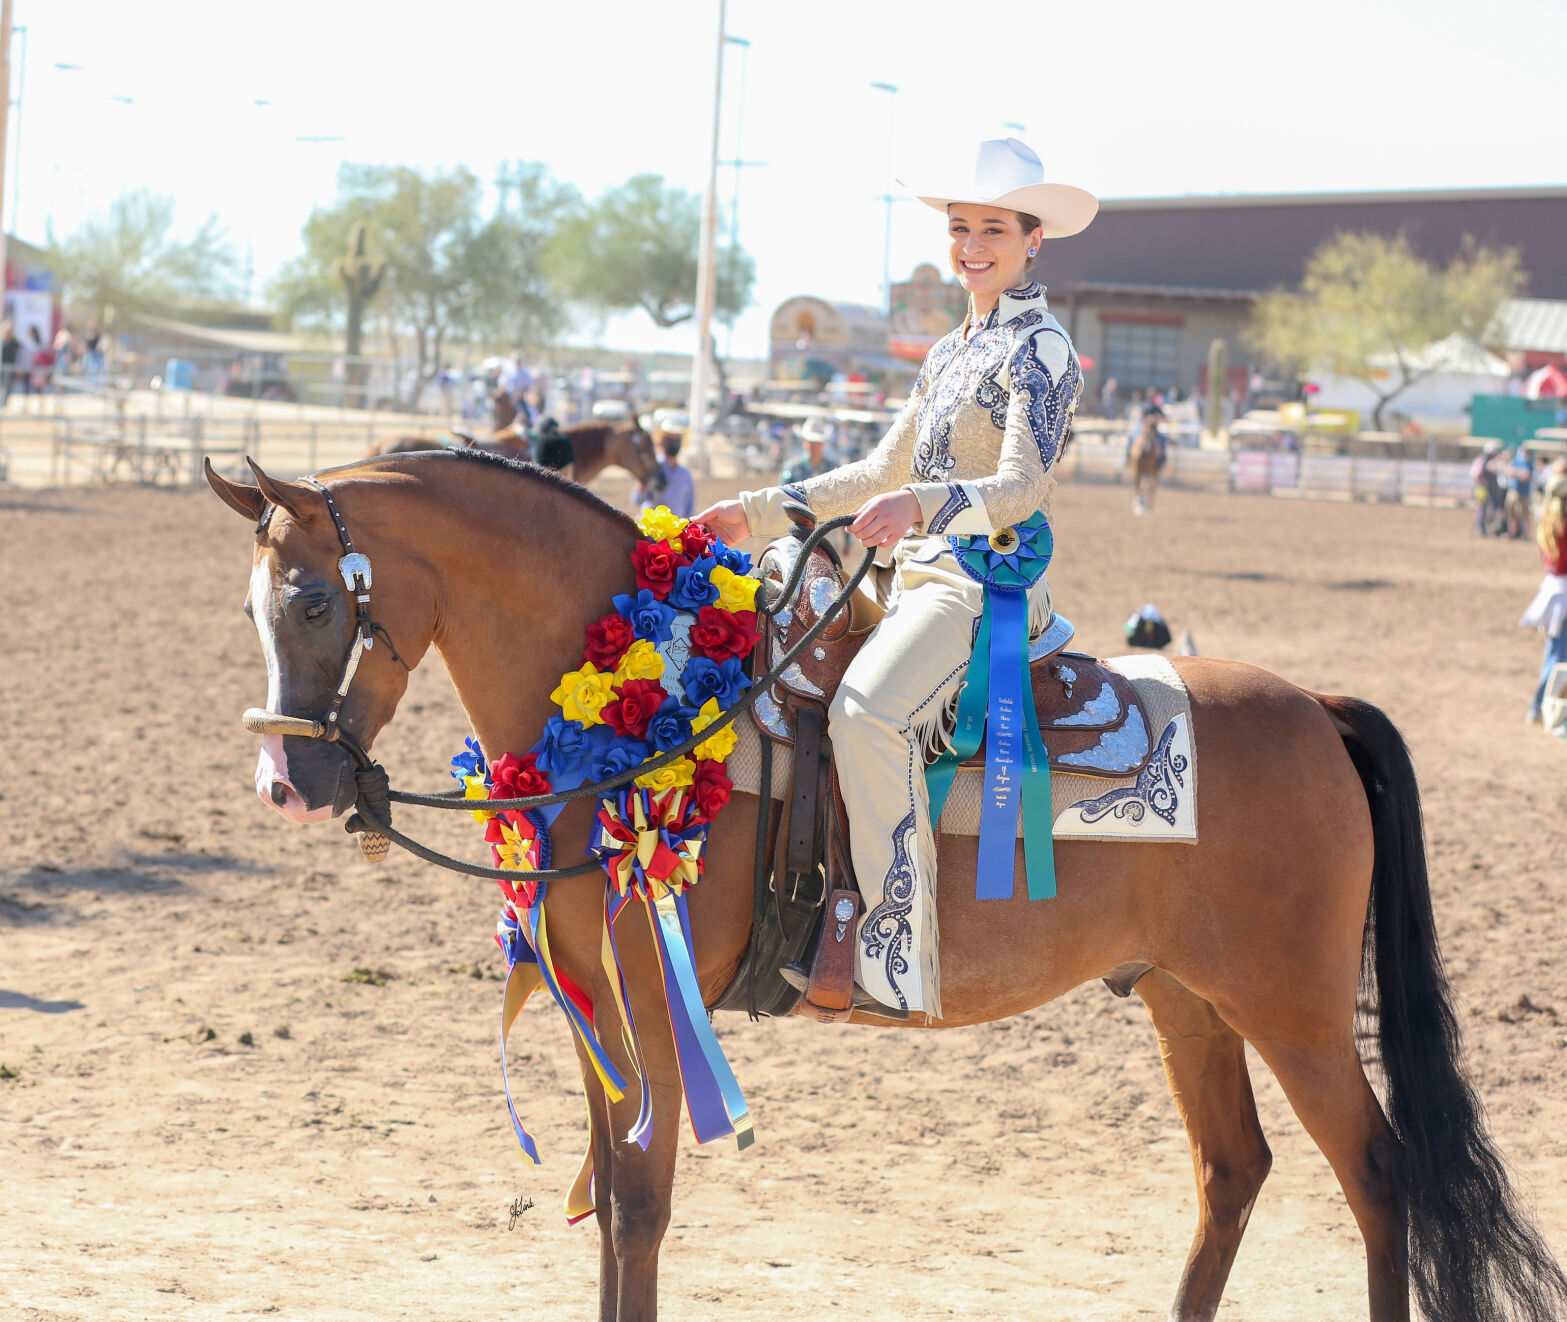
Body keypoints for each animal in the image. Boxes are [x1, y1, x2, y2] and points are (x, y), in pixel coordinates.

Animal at [205, 447, 1567, 1322]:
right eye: (255, 601)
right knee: (1232, 1172)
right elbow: (606, 1188)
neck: (644, 708)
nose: (288, 779)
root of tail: (1316, 706)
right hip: (1187, 1000)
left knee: (1377, 1176)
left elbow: (639, 1205)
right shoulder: (596, 998)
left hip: (1293, 1009)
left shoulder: (652, 994)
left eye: (315, 598)